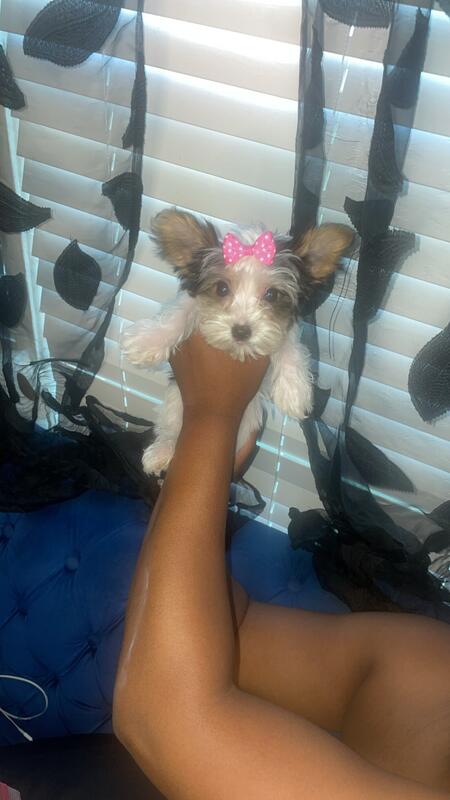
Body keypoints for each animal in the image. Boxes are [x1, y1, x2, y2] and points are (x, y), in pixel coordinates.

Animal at [122, 208, 353, 476]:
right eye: (222, 288)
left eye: (271, 294)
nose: (241, 331)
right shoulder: (192, 302)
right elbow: (181, 312)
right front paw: (148, 342)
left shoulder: (286, 325)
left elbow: (289, 345)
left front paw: (294, 390)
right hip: (175, 401)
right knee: (170, 427)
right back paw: (163, 450)